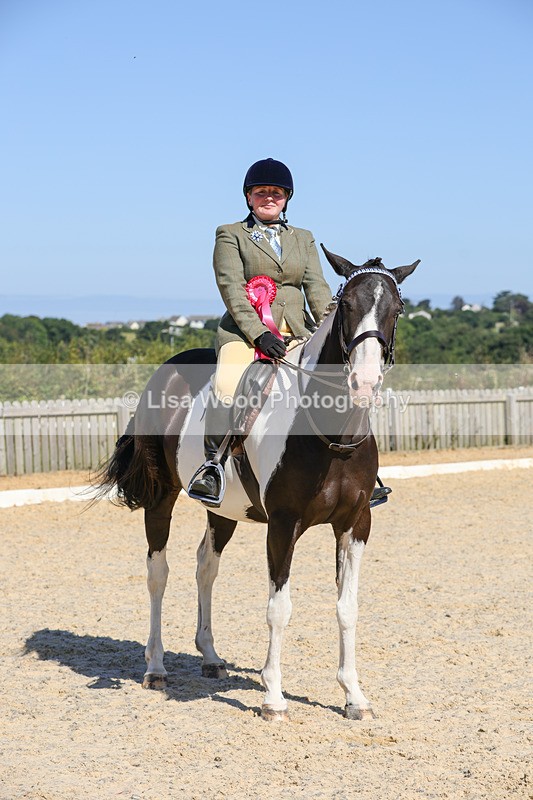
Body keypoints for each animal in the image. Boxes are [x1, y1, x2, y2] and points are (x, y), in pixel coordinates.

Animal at [97, 246, 419, 721]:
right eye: (346, 305)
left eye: (396, 309)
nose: (364, 383)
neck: (330, 433)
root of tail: (164, 372)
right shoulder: (283, 525)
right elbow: (279, 608)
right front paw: (273, 698)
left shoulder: (355, 525)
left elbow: (347, 607)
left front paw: (354, 697)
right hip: (162, 498)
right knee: (158, 572)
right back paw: (155, 667)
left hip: (223, 509)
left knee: (206, 567)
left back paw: (211, 658)